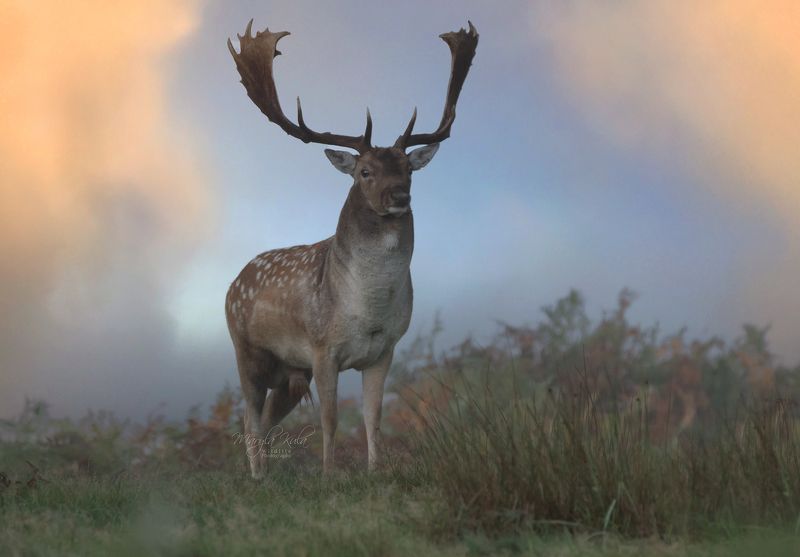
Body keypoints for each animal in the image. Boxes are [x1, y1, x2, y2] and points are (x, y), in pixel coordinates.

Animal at [225, 19, 478, 479]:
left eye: (409, 169)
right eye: (365, 171)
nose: (399, 195)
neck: (368, 309)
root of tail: (233, 283)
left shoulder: (384, 350)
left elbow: (372, 416)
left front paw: (374, 471)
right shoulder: (322, 348)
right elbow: (329, 418)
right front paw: (329, 476)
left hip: (291, 371)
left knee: (267, 416)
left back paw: (268, 477)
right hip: (247, 350)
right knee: (249, 416)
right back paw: (256, 477)